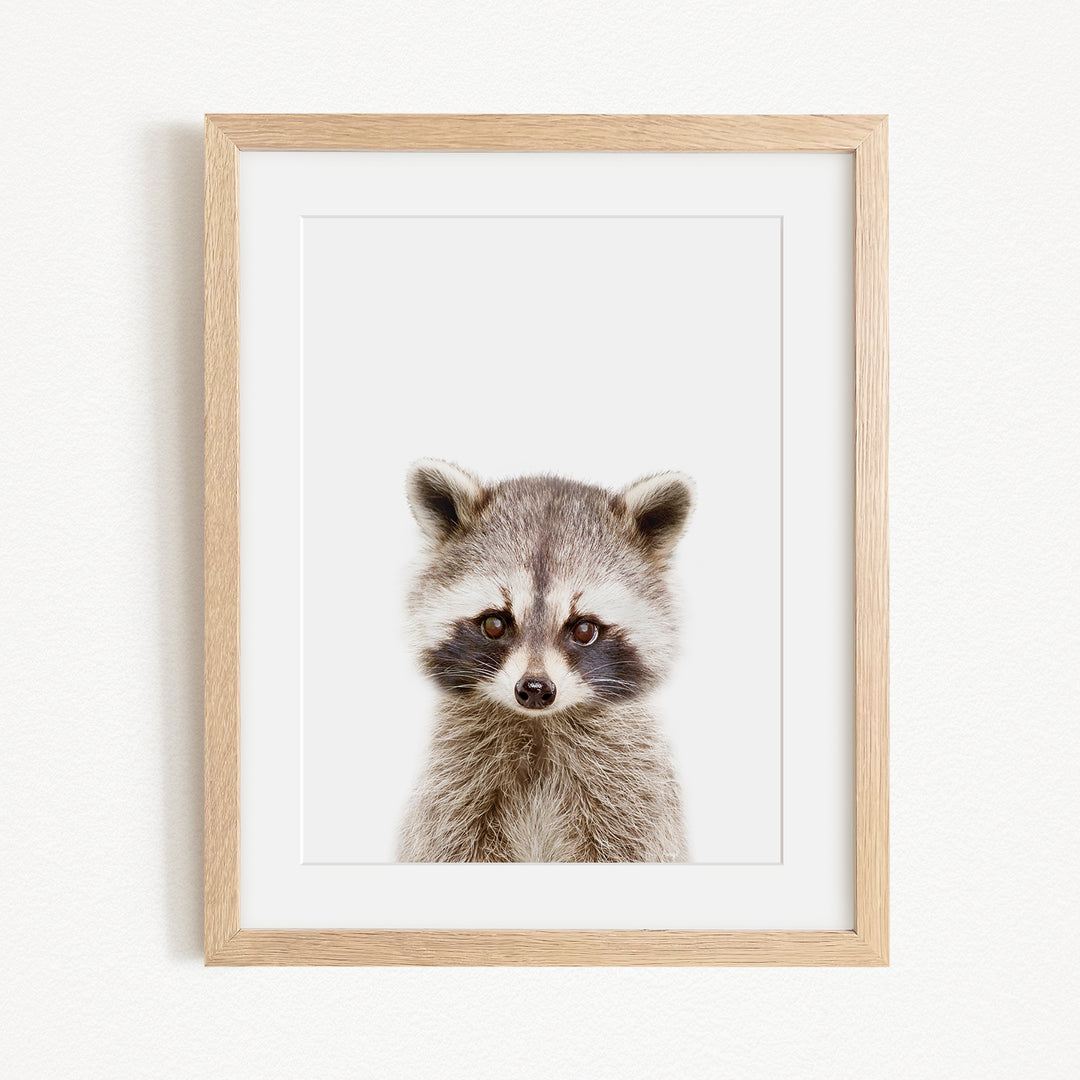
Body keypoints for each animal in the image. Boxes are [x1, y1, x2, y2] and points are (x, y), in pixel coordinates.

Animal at [397, 459, 693, 863]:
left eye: (584, 629)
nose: (535, 689)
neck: (538, 726)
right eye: (494, 624)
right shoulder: (452, 790)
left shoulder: (633, 794)